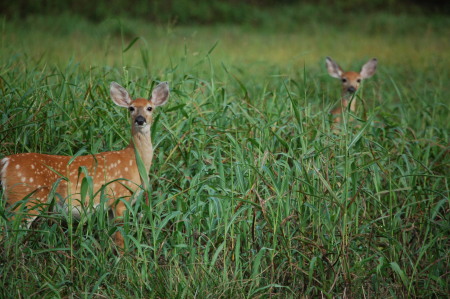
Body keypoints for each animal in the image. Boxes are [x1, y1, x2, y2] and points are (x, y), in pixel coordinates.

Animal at [0, 81, 169, 250]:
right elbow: (120, 238)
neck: (134, 162)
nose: (140, 120)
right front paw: (123, 255)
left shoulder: (109, 207)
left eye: (149, 108)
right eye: (131, 108)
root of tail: (5, 162)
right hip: (26, 197)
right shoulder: (121, 198)